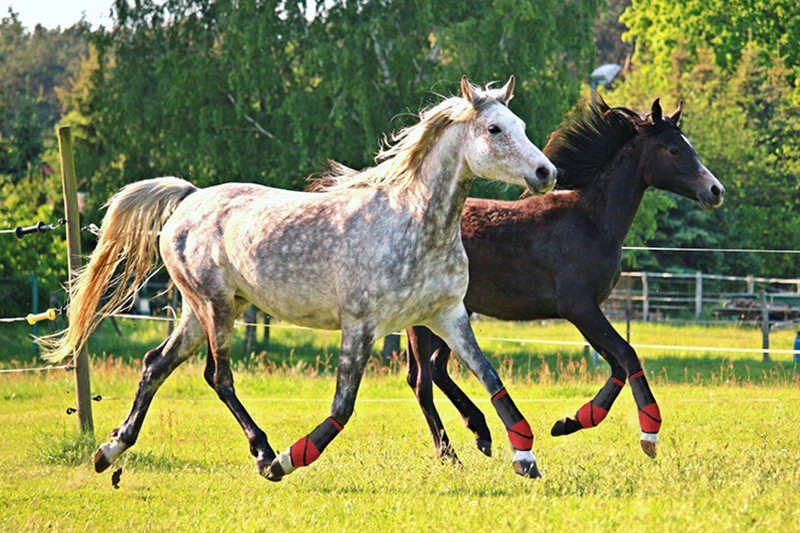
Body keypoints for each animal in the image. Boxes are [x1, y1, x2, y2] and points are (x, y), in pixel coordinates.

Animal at [43, 77, 556, 480]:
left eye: (521, 126)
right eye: (494, 129)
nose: (546, 171)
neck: (415, 223)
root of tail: (188, 198)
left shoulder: (447, 315)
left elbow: (490, 377)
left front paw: (524, 456)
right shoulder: (361, 326)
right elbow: (343, 406)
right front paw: (286, 461)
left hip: (201, 310)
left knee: (155, 365)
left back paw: (110, 450)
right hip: (215, 307)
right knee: (217, 376)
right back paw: (262, 451)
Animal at [406, 96, 724, 462]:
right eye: (673, 149)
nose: (715, 190)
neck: (591, 222)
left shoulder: (588, 311)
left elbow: (617, 364)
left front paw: (572, 421)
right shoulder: (580, 308)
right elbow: (628, 354)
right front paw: (649, 433)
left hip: (455, 312)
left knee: (434, 370)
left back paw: (480, 432)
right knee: (422, 380)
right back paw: (450, 452)